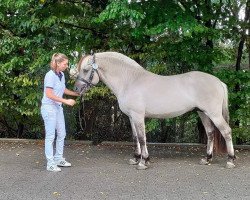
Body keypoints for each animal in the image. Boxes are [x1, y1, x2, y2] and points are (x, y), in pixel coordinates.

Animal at [71, 51, 236, 169]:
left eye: (86, 70)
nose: (77, 89)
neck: (130, 80)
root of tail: (218, 81)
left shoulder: (138, 116)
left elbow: (142, 138)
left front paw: (143, 162)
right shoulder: (131, 117)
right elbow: (135, 138)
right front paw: (136, 158)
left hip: (214, 114)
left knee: (226, 131)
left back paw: (230, 160)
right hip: (203, 113)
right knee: (210, 133)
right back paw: (207, 159)